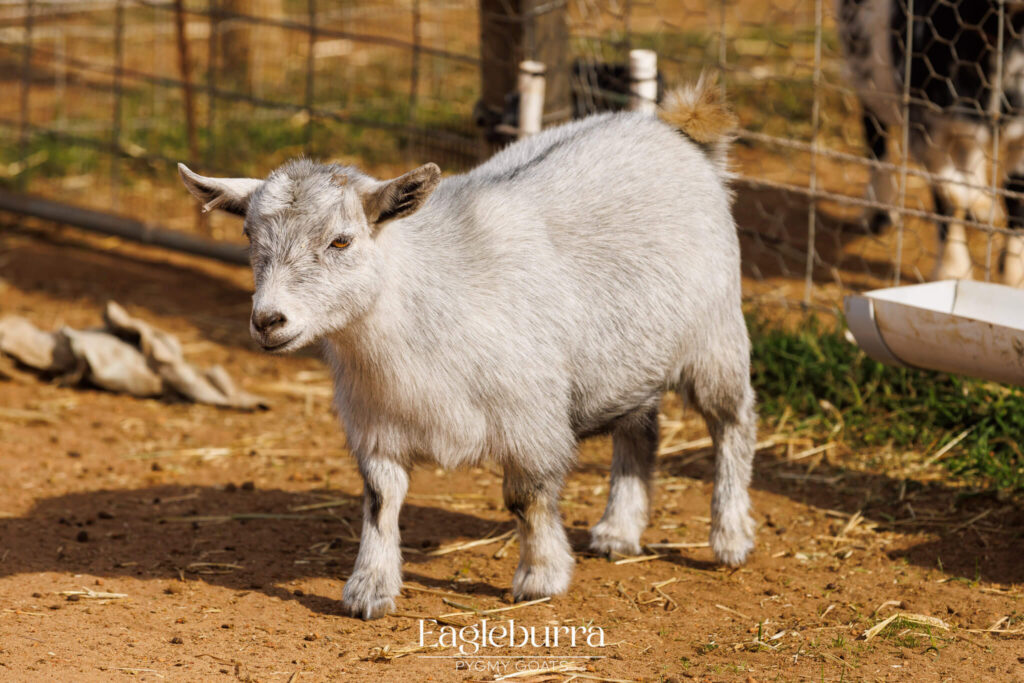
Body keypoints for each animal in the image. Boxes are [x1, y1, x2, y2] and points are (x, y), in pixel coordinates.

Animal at [178, 75, 756, 620]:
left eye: (341, 240)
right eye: (249, 237)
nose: (268, 320)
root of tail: (673, 130)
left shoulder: (531, 420)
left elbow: (527, 499)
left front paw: (541, 577)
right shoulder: (375, 425)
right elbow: (380, 502)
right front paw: (369, 590)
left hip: (716, 336)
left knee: (733, 423)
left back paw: (730, 538)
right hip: (631, 356)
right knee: (641, 429)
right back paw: (618, 531)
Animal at [837, 0, 1024, 286]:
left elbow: (1016, 191)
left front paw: (1015, 274)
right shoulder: (928, 128)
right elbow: (950, 195)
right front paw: (952, 270)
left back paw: (981, 204)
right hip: (865, 71)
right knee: (875, 133)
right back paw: (878, 212)